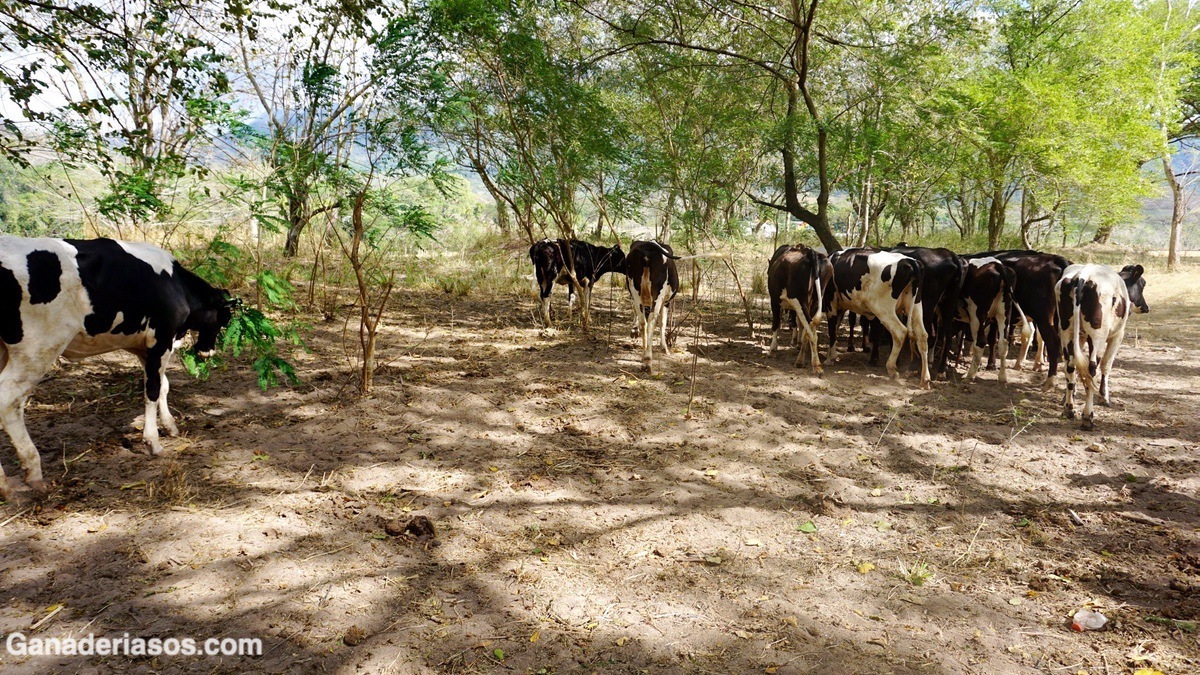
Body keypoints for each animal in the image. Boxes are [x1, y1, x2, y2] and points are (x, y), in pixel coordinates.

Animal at [0, 234, 236, 497]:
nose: (208, 351)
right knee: (8, 400)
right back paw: (29, 471)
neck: (177, 284)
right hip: (37, 349)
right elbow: (152, 390)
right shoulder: (161, 339)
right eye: (224, 318)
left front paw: (170, 426)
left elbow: (163, 385)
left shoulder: (144, 347)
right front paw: (153, 442)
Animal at [624, 239, 681, 369]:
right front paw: (664, 348)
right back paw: (648, 360)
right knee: (651, 321)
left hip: (635, 291)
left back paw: (644, 356)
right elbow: (662, 323)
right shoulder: (666, 302)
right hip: (657, 294)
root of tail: (647, 246)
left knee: (643, 322)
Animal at [772, 243, 830, 374]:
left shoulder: (774, 300)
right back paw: (801, 360)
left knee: (810, 329)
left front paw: (772, 348)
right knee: (811, 328)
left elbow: (776, 323)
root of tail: (811, 253)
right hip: (815, 301)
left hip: (799, 301)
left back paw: (816, 365)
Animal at [830, 247, 931, 386]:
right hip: (915, 306)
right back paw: (925, 379)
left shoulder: (831, 304)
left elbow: (832, 329)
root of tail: (910, 261)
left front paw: (829, 358)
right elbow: (835, 328)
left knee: (899, 332)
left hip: (883, 308)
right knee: (922, 336)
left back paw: (892, 370)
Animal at [1060, 261, 1152, 425]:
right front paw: (1104, 397)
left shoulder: (1080, 337)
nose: (1146, 307)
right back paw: (1088, 417)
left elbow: (1076, 367)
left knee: (1070, 365)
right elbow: (1106, 365)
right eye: (1143, 284)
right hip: (1097, 336)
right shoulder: (1117, 336)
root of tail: (1083, 274)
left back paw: (1069, 409)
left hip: (1067, 331)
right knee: (1092, 368)